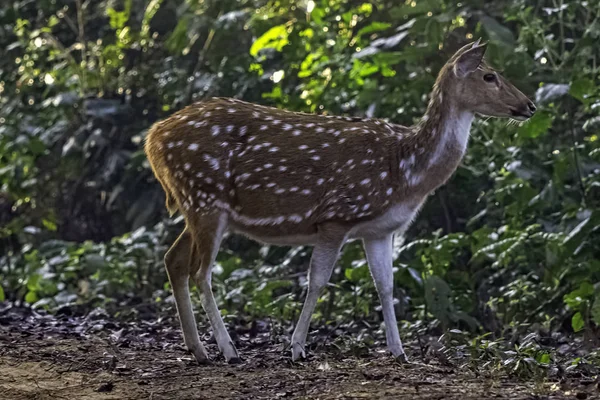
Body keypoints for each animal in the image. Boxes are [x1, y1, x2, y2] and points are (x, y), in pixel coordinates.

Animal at [144, 40, 536, 366]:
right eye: (489, 76)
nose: (530, 105)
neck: (405, 172)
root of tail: (153, 138)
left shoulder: (380, 230)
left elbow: (385, 286)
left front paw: (399, 351)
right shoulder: (336, 216)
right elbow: (317, 281)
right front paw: (296, 348)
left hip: (197, 206)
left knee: (173, 261)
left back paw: (198, 349)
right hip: (206, 197)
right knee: (200, 272)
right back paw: (228, 349)